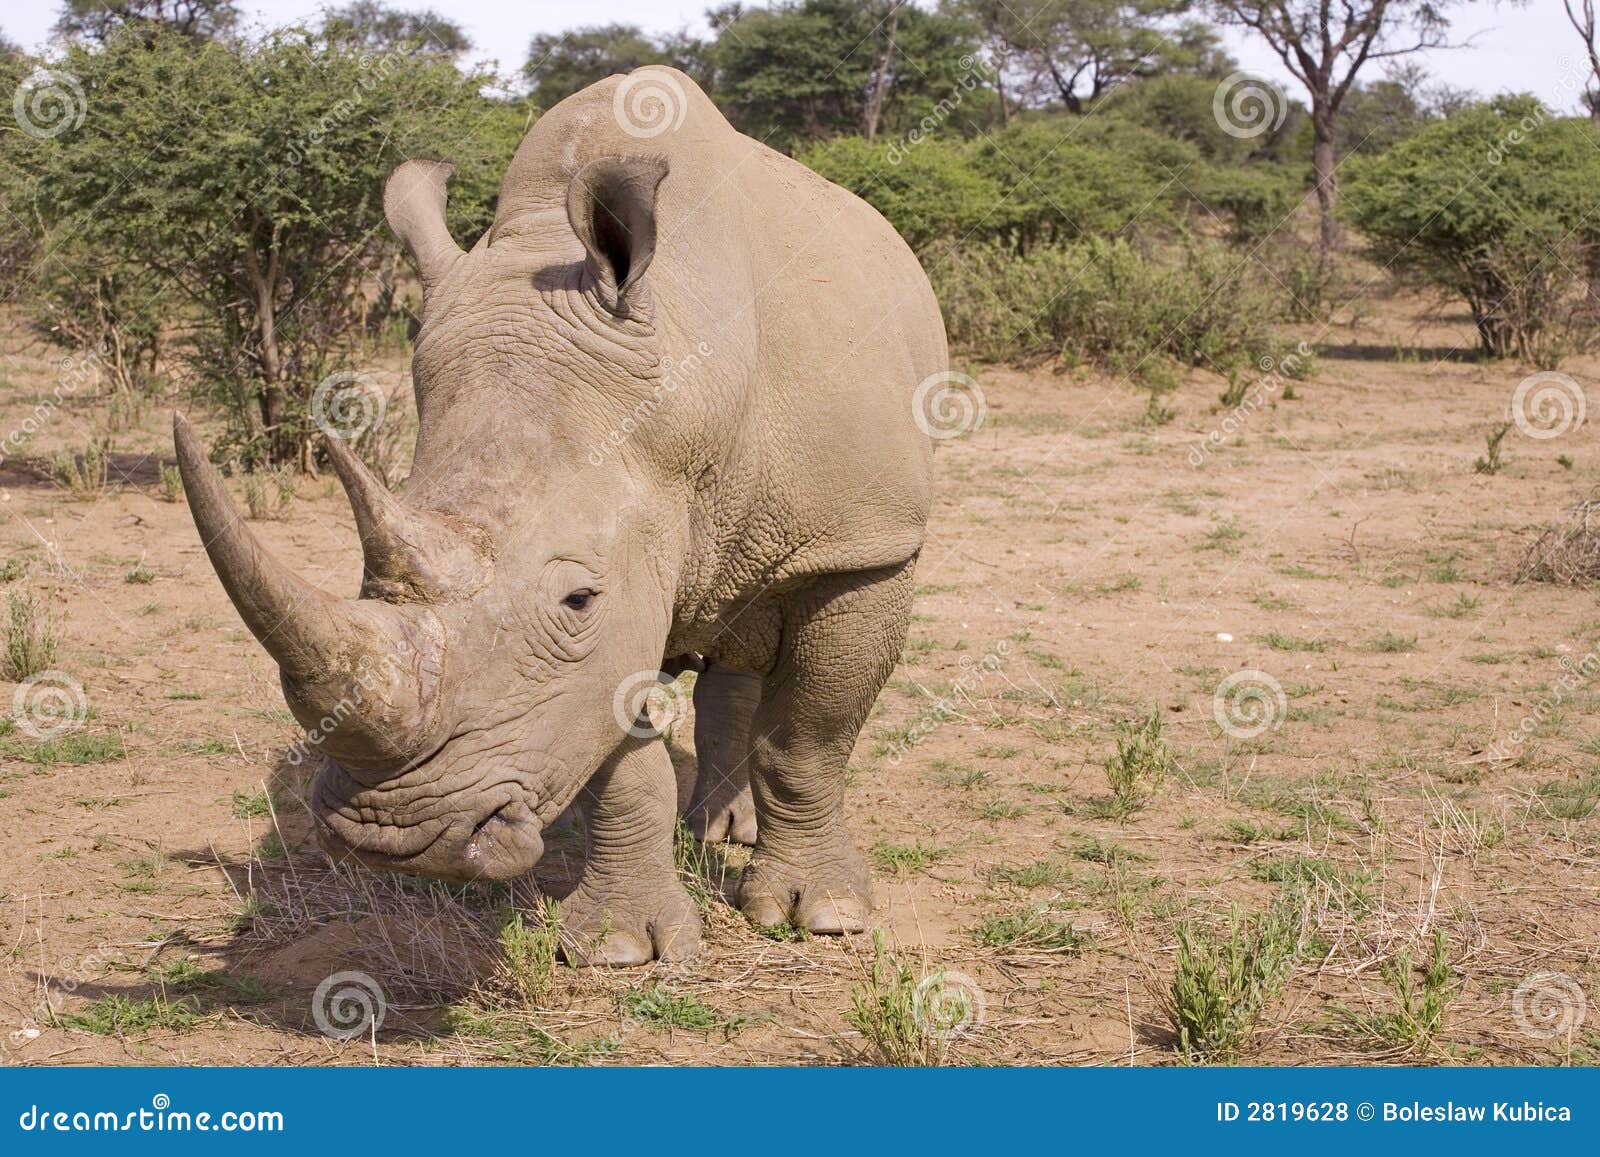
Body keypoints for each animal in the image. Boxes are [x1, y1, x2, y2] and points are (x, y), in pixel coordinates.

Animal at [172, 65, 947, 966]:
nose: (390, 836)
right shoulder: (622, 562)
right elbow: (613, 755)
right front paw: (617, 948)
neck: (684, 381)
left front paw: (819, 914)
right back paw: (711, 828)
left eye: (576, 599)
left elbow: (809, 738)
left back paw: (730, 836)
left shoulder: (860, 542)